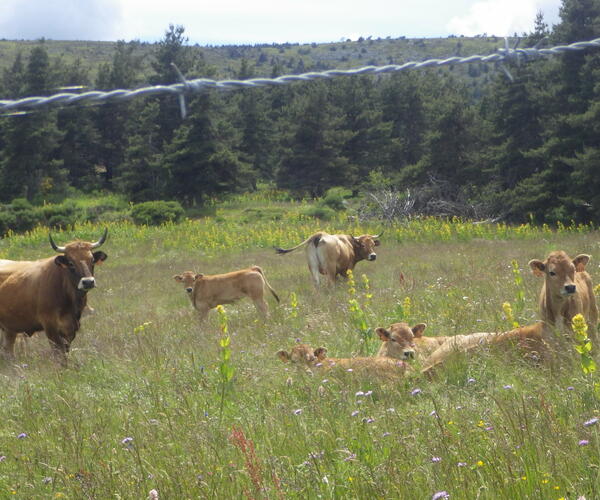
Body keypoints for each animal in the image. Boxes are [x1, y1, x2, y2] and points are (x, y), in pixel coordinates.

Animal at [0, 230, 108, 364]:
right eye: (71, 263)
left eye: (92, 260)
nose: (88, 282)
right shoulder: (50, 326)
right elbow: (59, 354)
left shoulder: (70, 329)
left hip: (9, 329)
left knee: (8, 350)